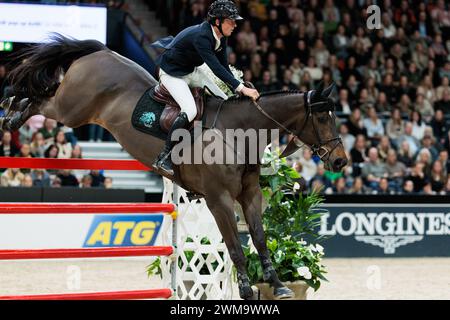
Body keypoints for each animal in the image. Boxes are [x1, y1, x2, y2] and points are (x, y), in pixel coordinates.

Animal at [0, 35, 348, 300]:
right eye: (322, 117)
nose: (340, 160)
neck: (237, 133)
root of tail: (101, 51)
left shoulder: (249, 194)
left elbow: (260, 239)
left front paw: (277, 286)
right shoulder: (219, 199)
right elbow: (235, 247)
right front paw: (247, 291)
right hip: (72, 109)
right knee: (42, 98)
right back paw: (13, 110)